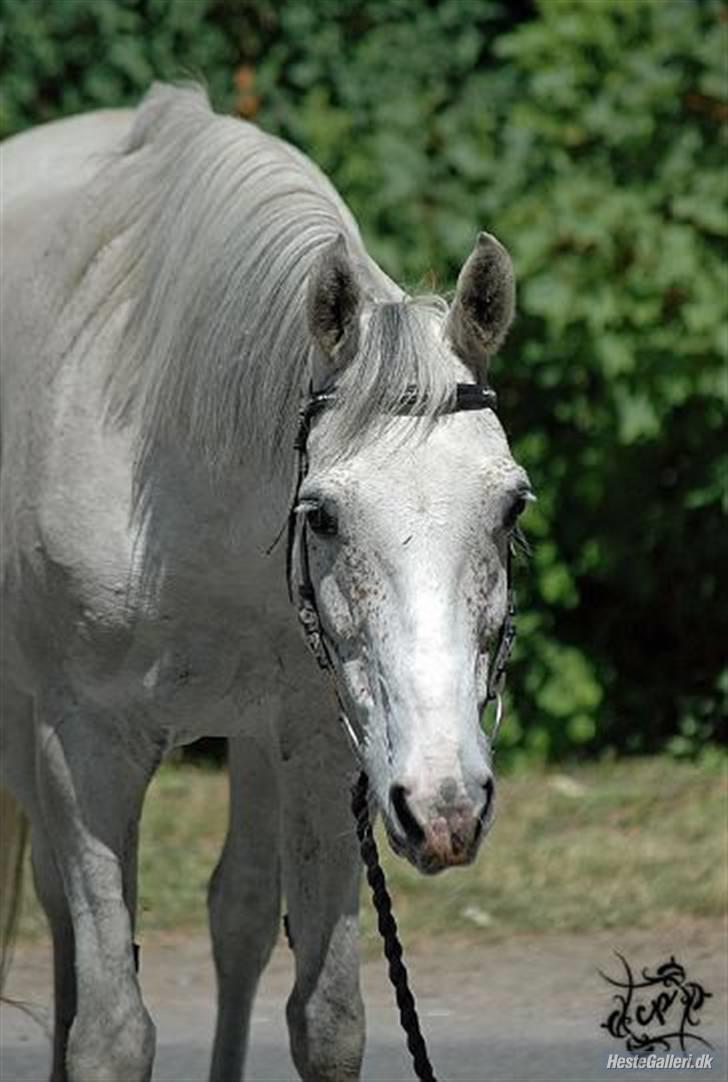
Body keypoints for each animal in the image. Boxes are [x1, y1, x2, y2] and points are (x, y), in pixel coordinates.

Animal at [1, 86, 527, 1082]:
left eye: (512, 506)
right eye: (320, 515)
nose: (445, 805)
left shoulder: (325, 743)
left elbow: (327, 1019)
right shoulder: (82, 747)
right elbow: (110, 1031)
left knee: (236, 914)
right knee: (61, 913)